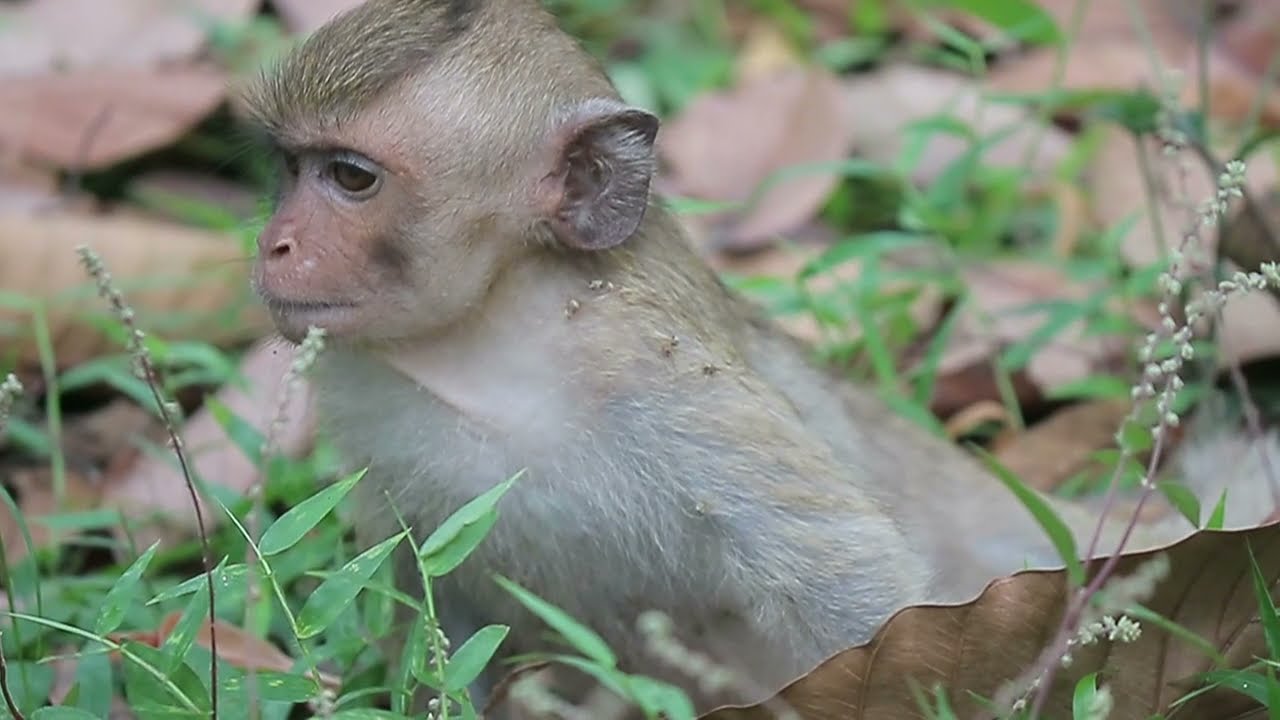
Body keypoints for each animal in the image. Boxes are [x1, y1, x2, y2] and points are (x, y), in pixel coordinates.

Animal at [242, 0, 1280, 713]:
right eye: (288, 170)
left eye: (351, 178)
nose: (274, 244)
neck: (496, 342)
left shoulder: (665, 387)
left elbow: (845, 578)